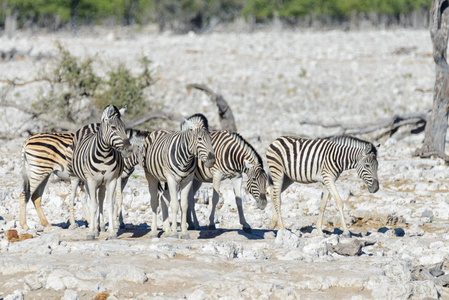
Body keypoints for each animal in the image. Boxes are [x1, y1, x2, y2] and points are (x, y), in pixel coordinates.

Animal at [67, 104, 132, 240]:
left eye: (124, 128)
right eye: (113, 128)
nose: (129, 149)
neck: (104, 155)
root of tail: (90, 124)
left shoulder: (111, 180)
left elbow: (109, 205)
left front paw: (111, 232)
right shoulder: (91, 181)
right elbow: (93, 205)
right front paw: (92, 232)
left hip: (99, 182)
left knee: (100, 199)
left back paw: (100, 226)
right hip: (76, 176)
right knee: (74, 197)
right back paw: (78, 224)